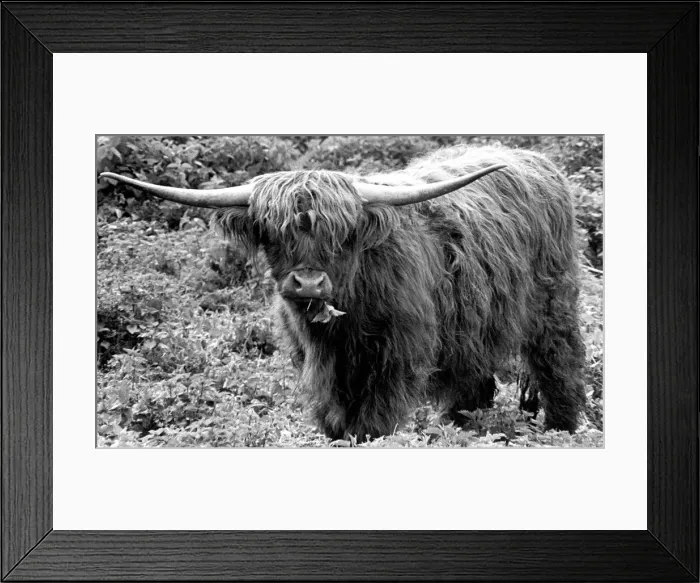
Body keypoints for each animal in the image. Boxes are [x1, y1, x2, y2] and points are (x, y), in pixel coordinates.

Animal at [100, 144, 587, 440]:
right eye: (273, 233)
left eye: (342, 234)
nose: (309, 283)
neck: (342, 326)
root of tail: (536, 161)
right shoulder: (314, 364)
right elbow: (333, 419)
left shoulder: (395, 358)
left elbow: (373, 423)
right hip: (474, 326)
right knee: (473, 385)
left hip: (554, 306)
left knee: (560, 365)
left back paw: (562, 430)